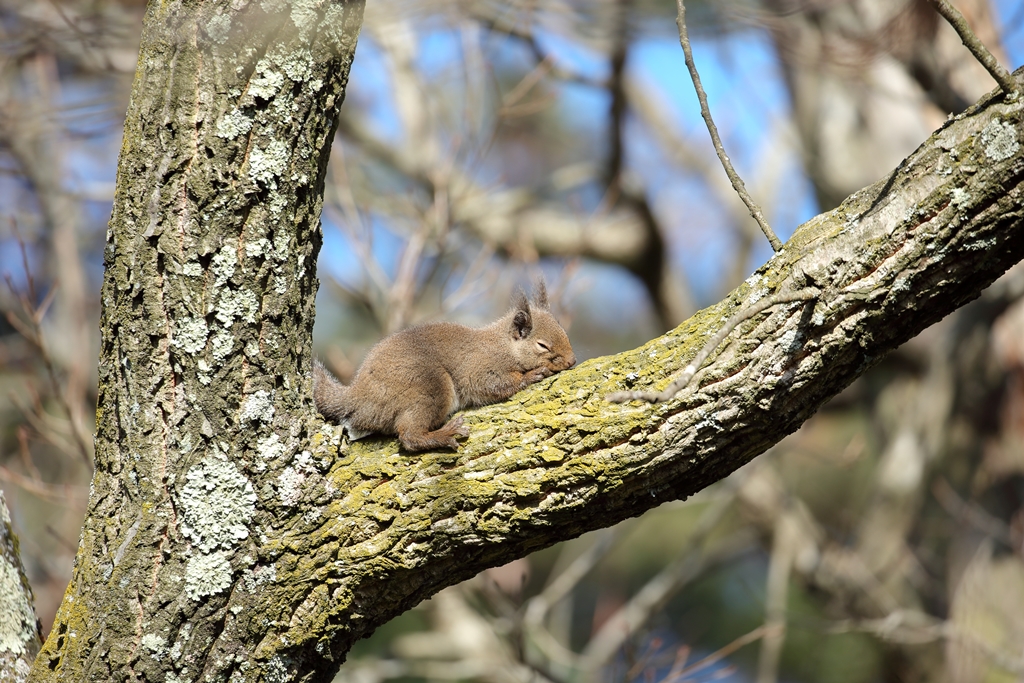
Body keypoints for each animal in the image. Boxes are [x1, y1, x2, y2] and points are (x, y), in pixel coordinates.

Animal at [311, 282, 577, 454]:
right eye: (542, 345)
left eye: (564, 331)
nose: (572, 361)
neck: (504, 346)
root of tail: (359, 395)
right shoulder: (479, 367)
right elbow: (495, 384)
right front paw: (532, 375)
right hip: (429, 387)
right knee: (409, 436)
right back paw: (444, 435)